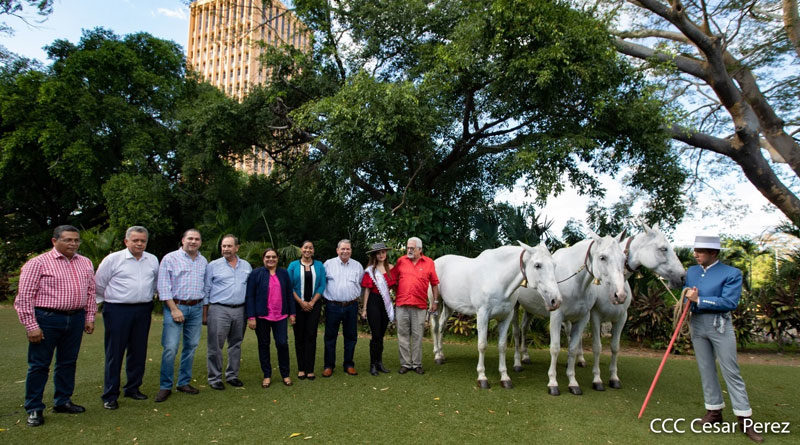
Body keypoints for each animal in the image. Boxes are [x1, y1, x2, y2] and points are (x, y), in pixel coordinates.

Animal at [434, 241, 560, 386]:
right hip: (435, 303)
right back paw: (437, 356)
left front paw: (505, 377)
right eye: (537, 265)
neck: (497, 278)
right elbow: (482, 345)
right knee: (435, 327)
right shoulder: (482, 315)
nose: (555, 300)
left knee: (442, 326)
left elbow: (502, 346)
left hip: (449, 306)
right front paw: (482, 377)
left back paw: (441, 355)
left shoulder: (506, 317)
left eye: (554, 265)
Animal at [510, 231, 628, 394]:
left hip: (530, 309)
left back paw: (525, 356)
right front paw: (553, 383)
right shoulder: (556, 317)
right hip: (515, 307)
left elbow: (572, 348)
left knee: (524, 328)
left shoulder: (583, 318)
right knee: (516, 332)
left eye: (623, 258)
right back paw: (517, 363)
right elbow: (555, 348)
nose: (620, 295)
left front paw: (573, 382)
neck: (576, 282)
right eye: (602, 257)